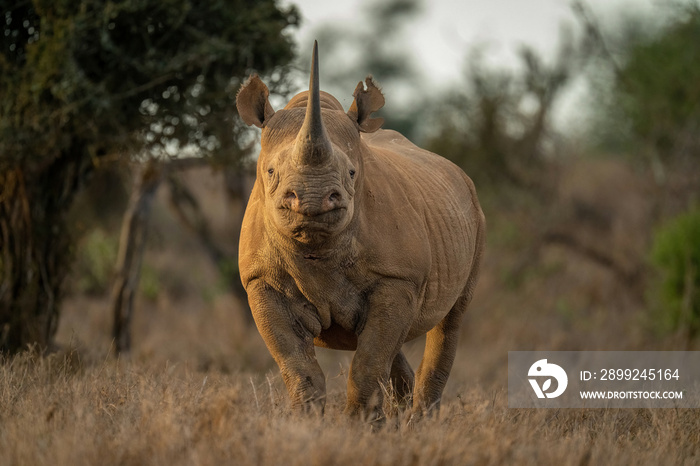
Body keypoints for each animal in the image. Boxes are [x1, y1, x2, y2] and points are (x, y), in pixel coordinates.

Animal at [238, 43, 484, 420]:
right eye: (270, 172)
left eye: (352, 173)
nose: (312, 199)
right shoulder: (261, 279)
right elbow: (298, 367)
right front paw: (305, 424)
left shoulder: (397, 278)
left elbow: (368, 364)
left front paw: (359, 426)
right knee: (391, 344)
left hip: (475, 213)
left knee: (448, 322)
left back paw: (420, 422)